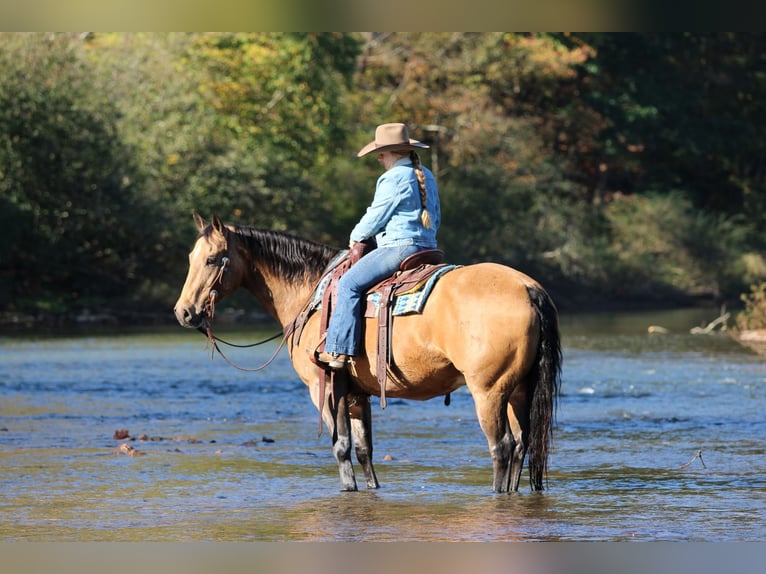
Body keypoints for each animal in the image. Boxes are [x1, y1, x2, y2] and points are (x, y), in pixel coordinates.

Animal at [174, 213, 562, 493]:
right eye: (190, 257)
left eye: (212, 259)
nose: (184, 312)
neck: (311, 292)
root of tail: (528, 287)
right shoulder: (357, 392)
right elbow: (364, 450)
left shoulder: (323, 387)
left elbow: (341, 446)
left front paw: (348, 489)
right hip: (517, 390)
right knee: (522, 444)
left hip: (488, 391)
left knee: (502, 447)